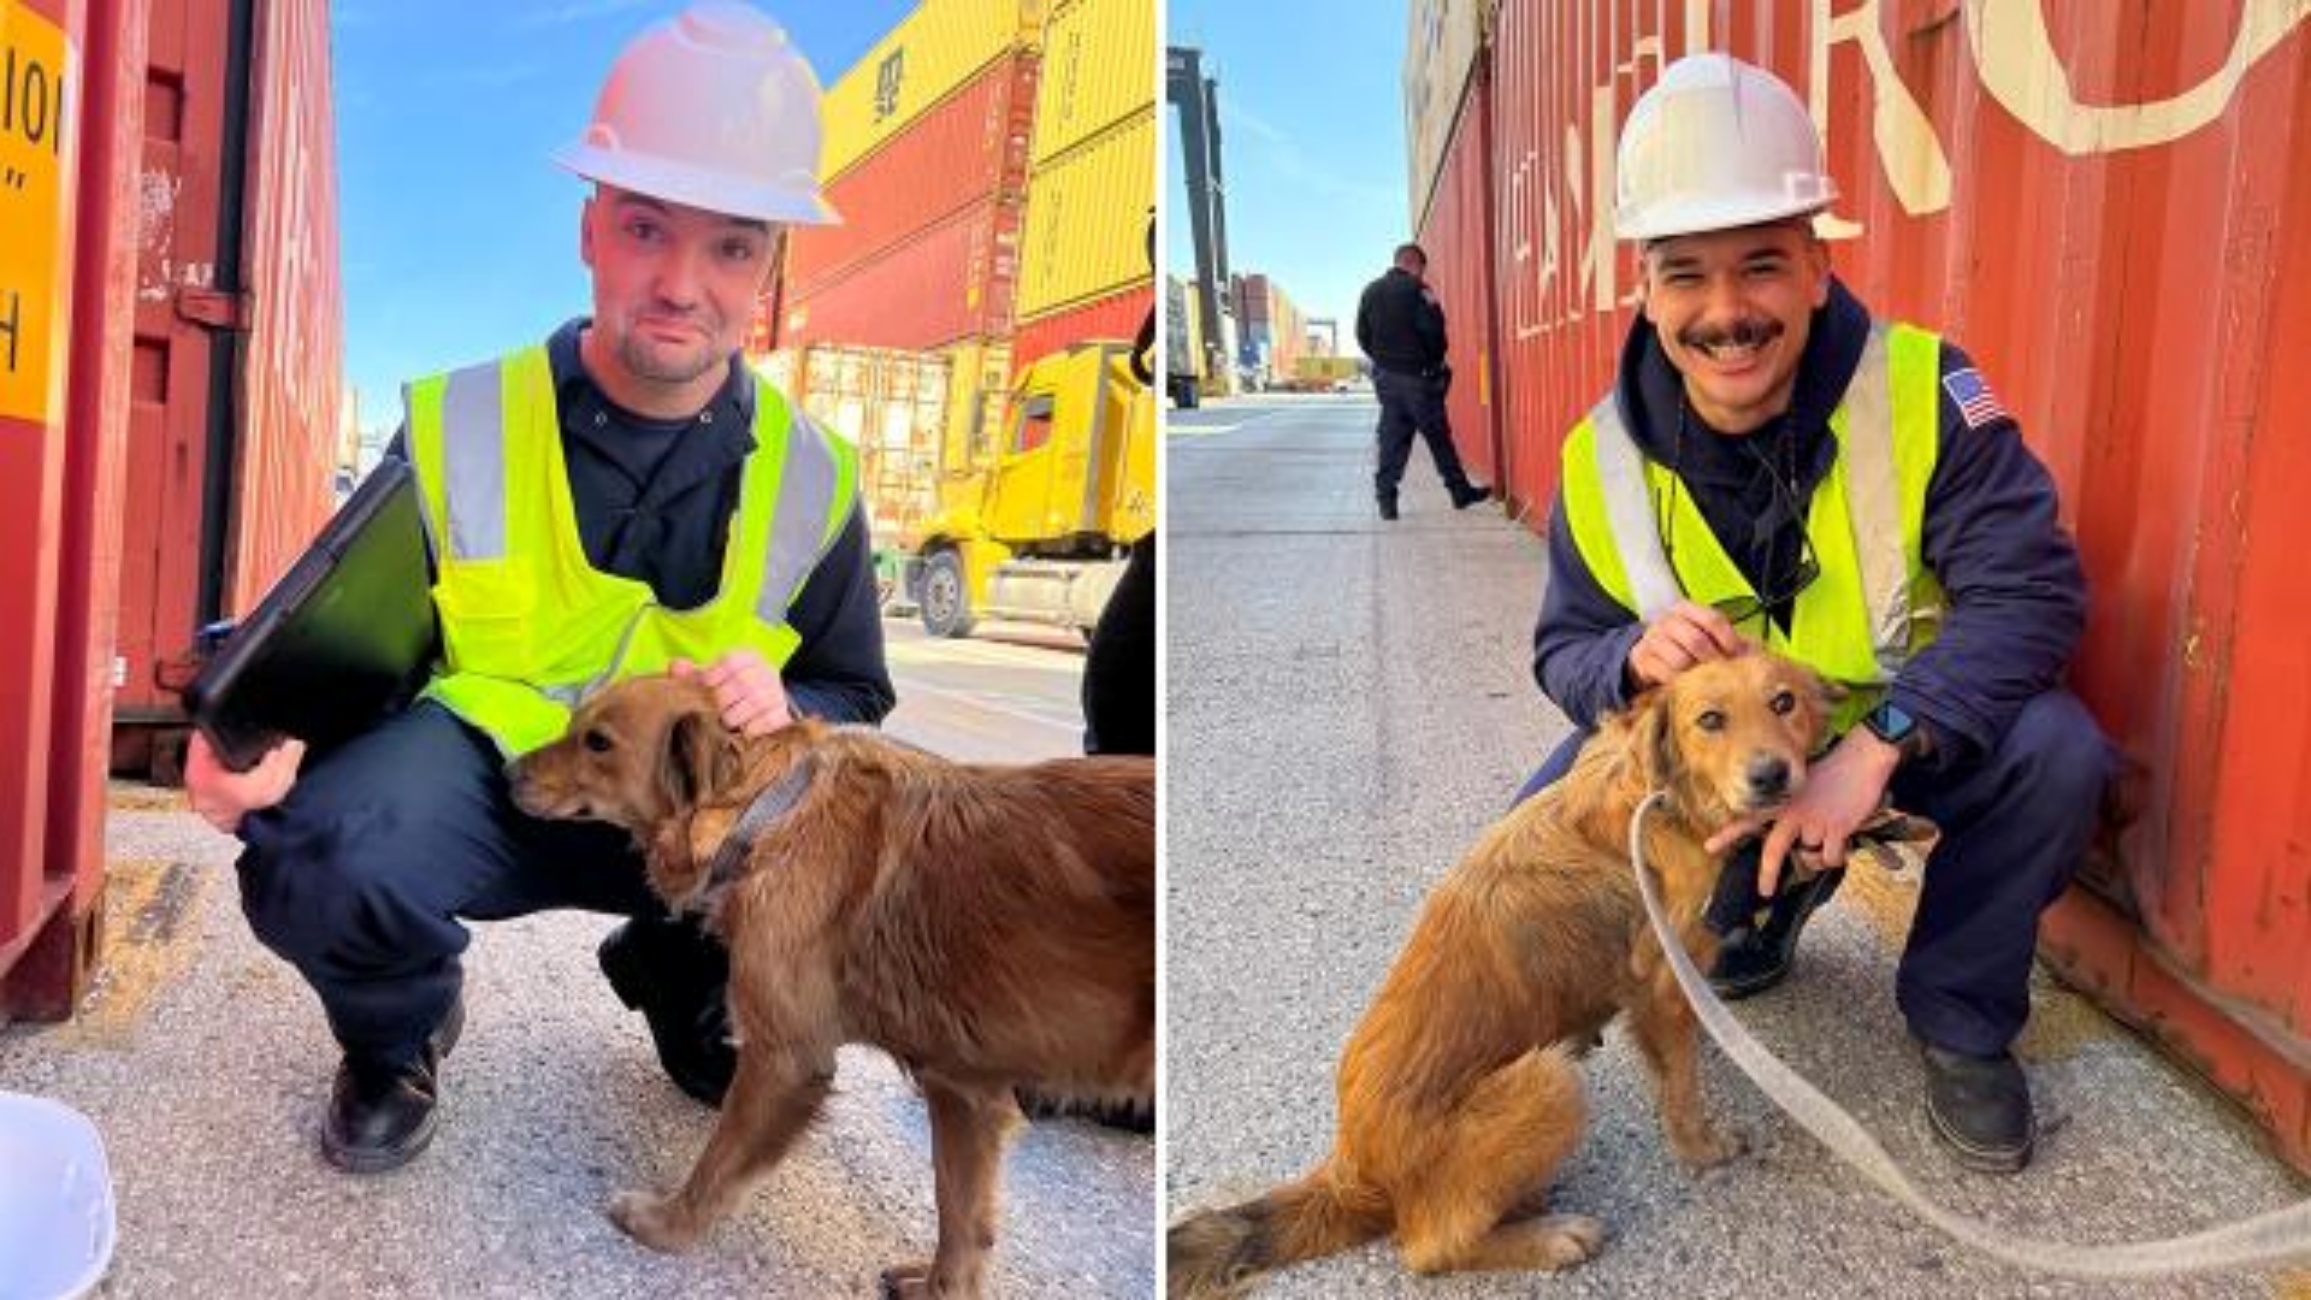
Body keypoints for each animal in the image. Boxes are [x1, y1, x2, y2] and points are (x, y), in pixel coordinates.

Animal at [510, 678, 1150, 1293]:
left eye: (597, 742)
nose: (507, 772)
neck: (769, 809)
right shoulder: (963, 1091)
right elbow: (963, 1223)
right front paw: (937, 1286)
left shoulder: (783, 1061)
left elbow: (718, 1164)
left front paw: (668, 1224)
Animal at [1164, 655, 1830, 1293]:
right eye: (1710, 720)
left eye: (1784, 703)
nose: (1773, 776)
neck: (1658, 797)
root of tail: (1353, 1169)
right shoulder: (1665, 987)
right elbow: (1683, 1088)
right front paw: (1702, 1149)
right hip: (1549, 1082)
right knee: (1427, 1249)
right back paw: (1548, 1238)